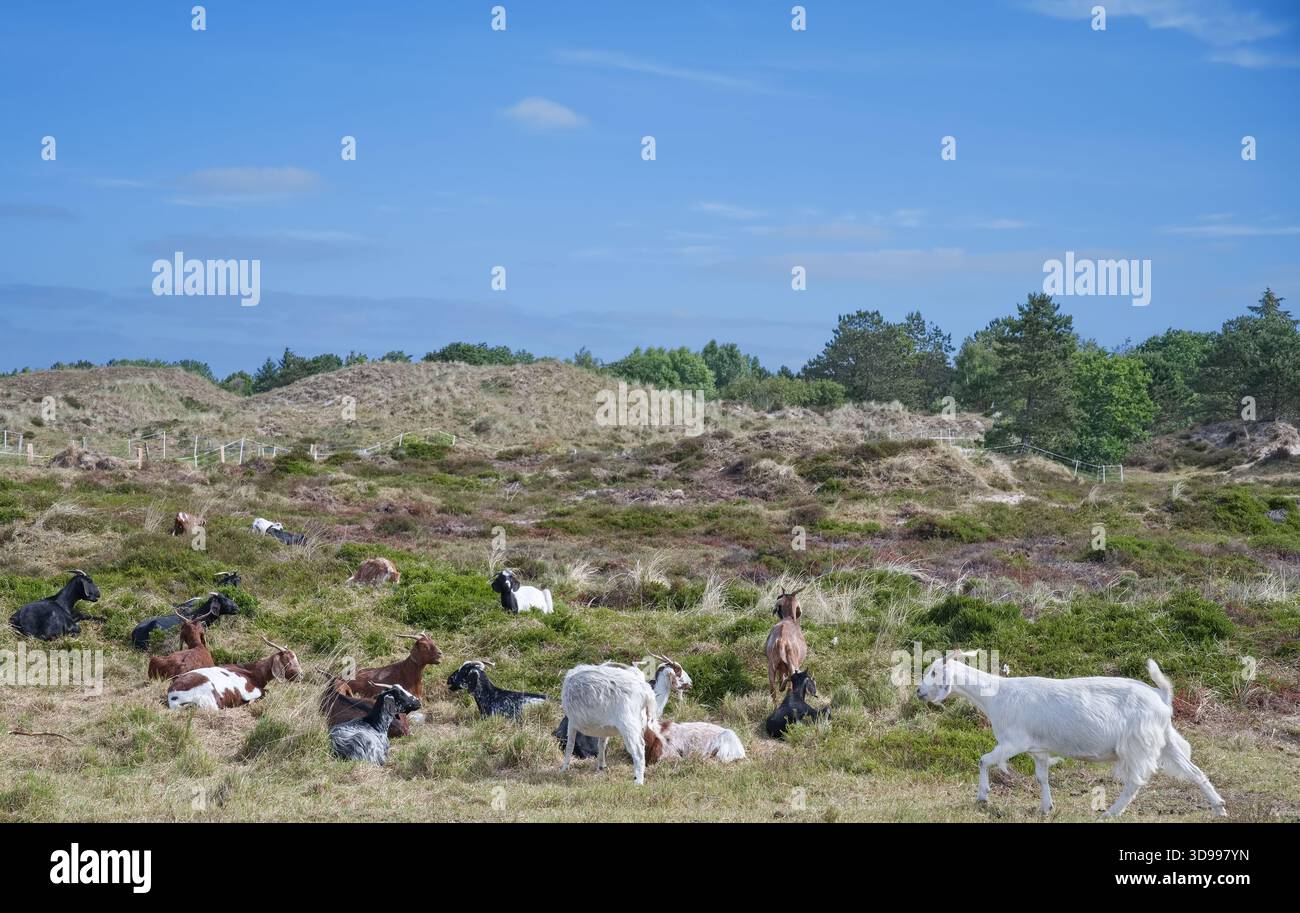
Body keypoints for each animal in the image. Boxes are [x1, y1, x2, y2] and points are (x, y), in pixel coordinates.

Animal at [166, 635, 301, 710]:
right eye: (287, 661)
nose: (300, 675)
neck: (252, 672)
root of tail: (173, 697)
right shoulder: (251, 691)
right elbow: (265, 693)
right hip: (209, 698)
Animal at [916, 652, 1227, 818]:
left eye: (933, 672)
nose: (919, 692)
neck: (996, 696)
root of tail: (1161, 696)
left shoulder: (1013, 742)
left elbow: (983, 760)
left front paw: (982, 797)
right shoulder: (1038, 748)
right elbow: (1041, 777)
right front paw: (1046, 807)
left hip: (1138, 743)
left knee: (1135, 781)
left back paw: (1110, 813)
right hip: (1165, 741)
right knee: (1195, 771)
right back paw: (1219, 808)